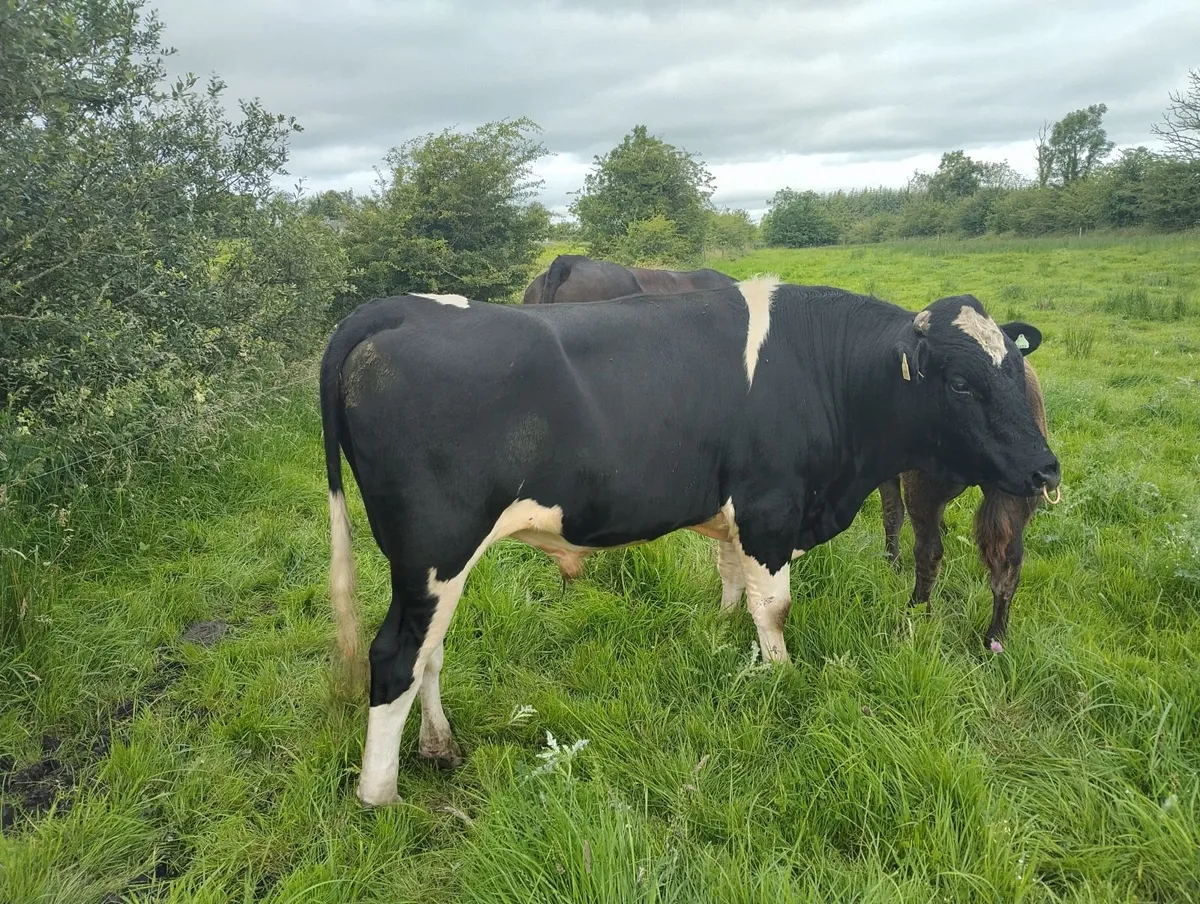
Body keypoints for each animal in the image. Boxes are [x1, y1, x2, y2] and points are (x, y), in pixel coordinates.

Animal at [878, 340, 1052, 650]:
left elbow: (892, 515)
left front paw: (892, 564)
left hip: (922, 482)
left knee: (928, 552)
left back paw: (916, 612)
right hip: (1017, 494)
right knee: (1009, 563)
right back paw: (995, 639)